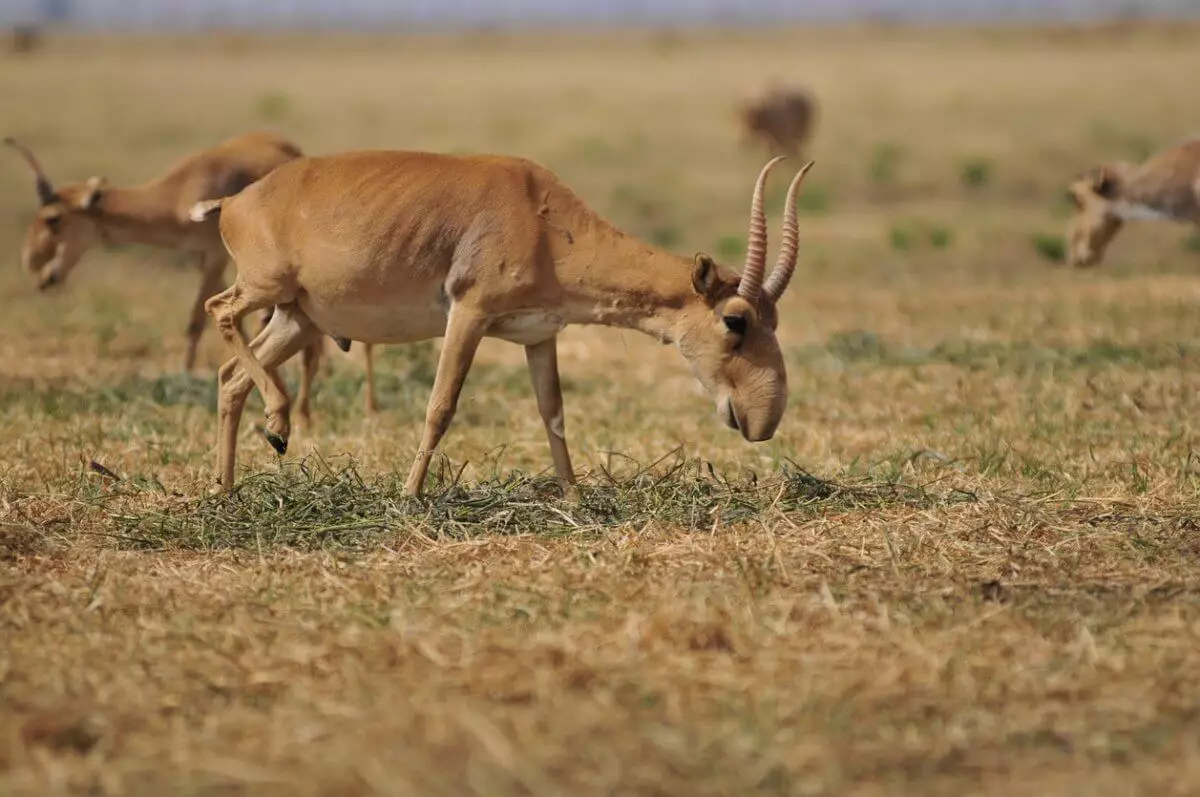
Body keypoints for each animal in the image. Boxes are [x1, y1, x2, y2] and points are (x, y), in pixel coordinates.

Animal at [3, 134, 348, 422]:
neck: (180, 192)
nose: (36, 270)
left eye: (53, 218)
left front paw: (186, 378)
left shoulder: (215, 258)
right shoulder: (204, 261)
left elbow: (197, 320)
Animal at [192, 152, 816, 494]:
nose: (762, 419)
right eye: (736, 320)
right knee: (219, 312)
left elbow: (553, 414)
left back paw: (228, 489)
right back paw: (276, 425)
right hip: (267, 291)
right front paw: (410, 496)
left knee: (230, 378)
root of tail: (234, 203)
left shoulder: (539, 335)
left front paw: (574, 498)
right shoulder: (468, 315)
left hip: (297, 319)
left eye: (774, 317)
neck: (541, 215)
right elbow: (440, 405)